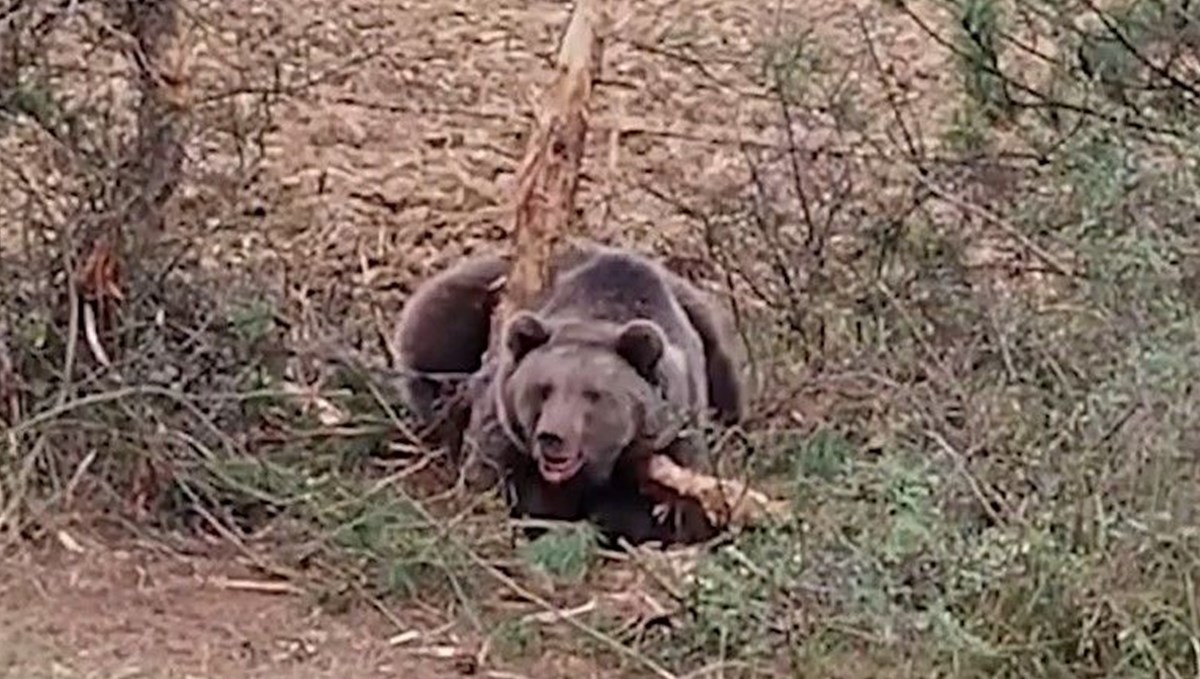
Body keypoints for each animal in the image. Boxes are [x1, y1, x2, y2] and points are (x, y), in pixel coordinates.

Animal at [393, 239, 744, 549]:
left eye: (593, 394)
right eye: (543, 389)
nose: (552, 437)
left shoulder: (672, 439)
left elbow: (676, 514)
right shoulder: (506, 430)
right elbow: (491, 479)